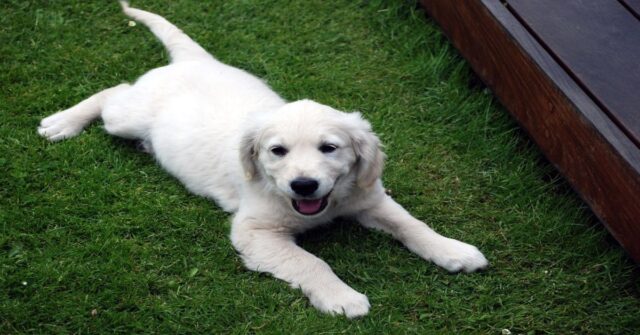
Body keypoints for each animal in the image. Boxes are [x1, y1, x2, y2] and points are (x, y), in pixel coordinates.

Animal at [37, 1, 488, 318]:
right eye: (277, 151)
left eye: (329, 148)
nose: (303, 185)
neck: (323, 205)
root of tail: (195, 62)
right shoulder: (255, 232)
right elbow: (310, 262)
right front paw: (342, 297)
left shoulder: (370, 197)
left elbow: (412, 224)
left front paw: (454, 250)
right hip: (127, 118)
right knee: (113, 92)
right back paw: (62, 122)